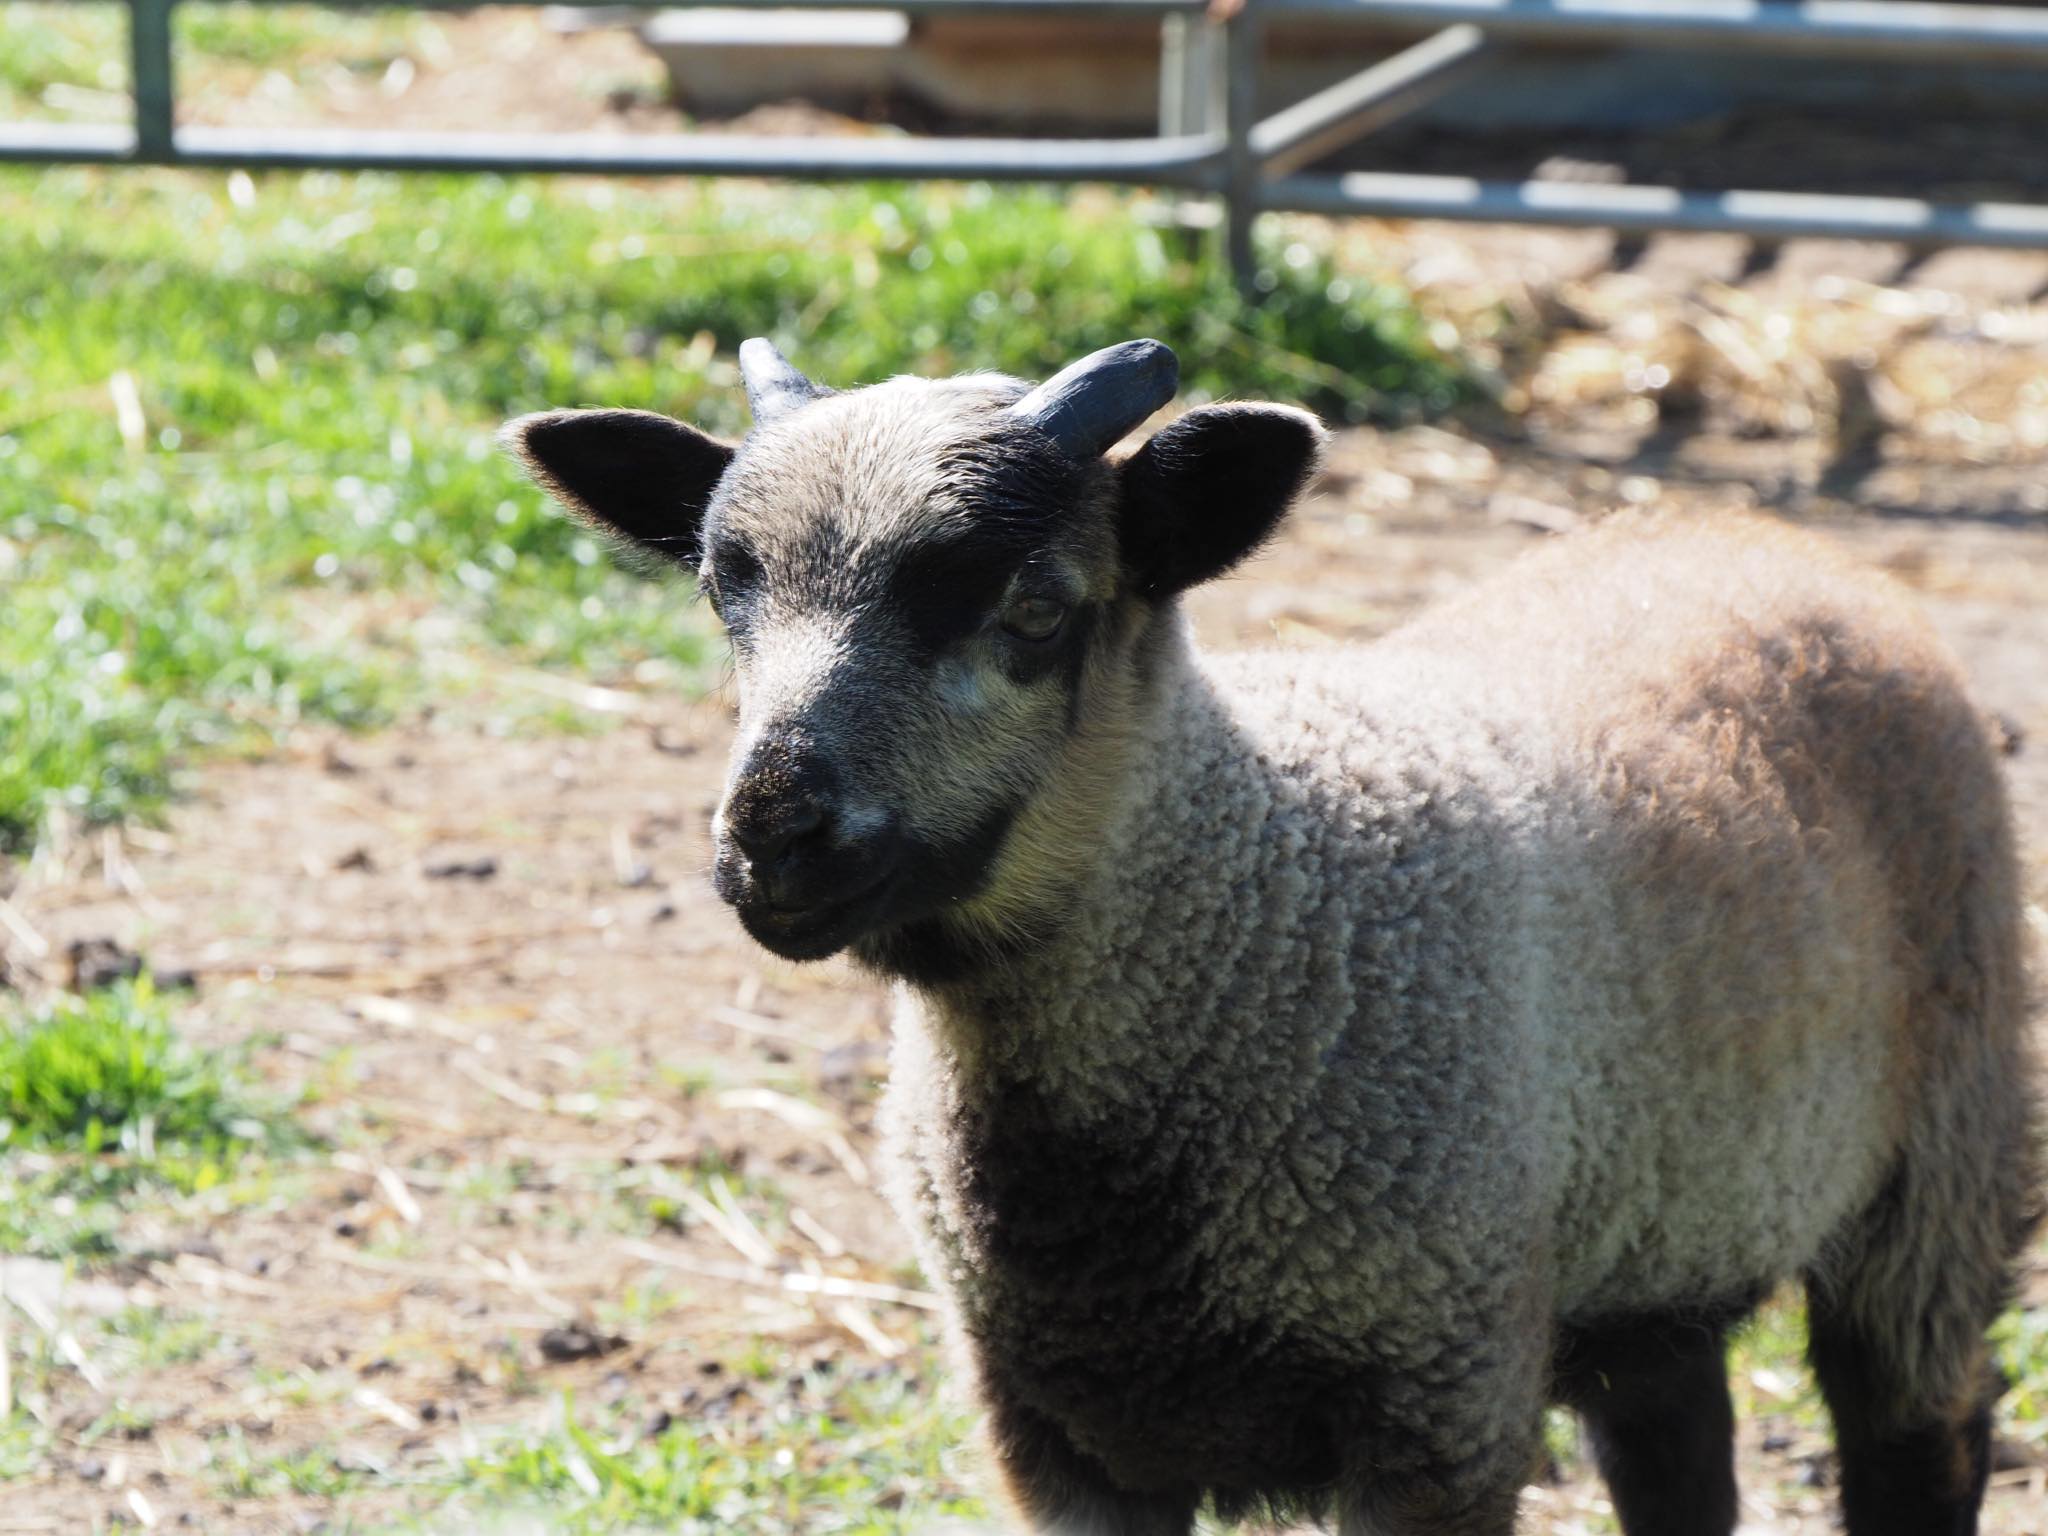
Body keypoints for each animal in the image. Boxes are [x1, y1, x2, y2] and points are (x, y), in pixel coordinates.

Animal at [503, 339, 2039, 1536]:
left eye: (1035, 607)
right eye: (725, 594)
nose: (773, 835)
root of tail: (1752, 532)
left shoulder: (1437, 1410)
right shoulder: (1059, 1435)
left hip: (1939, 1178)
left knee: (1922, 1435)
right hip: (1652, 1245)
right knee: (1677, 1453)